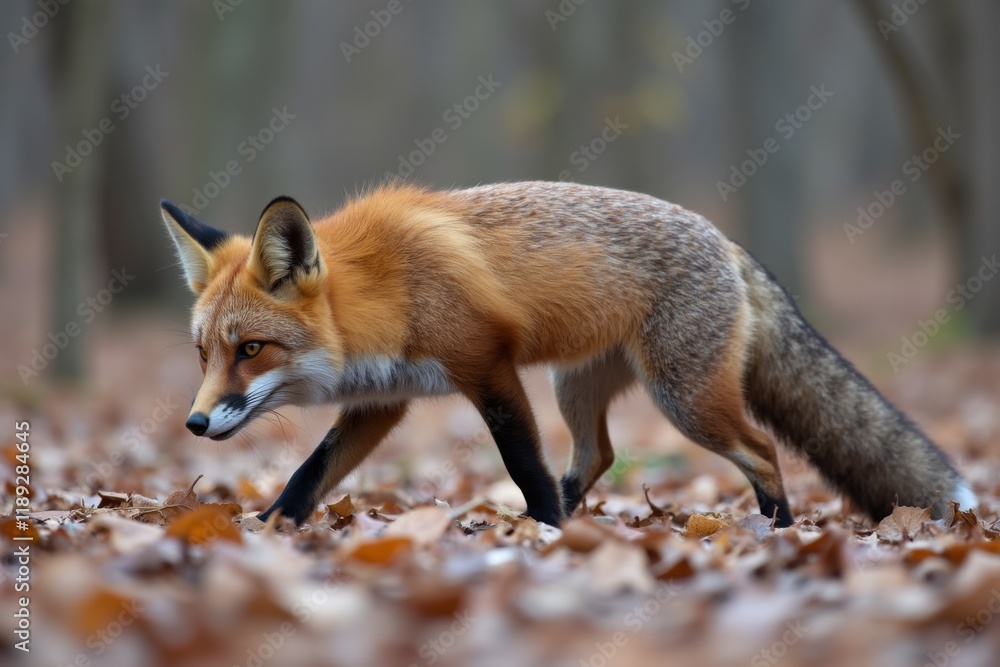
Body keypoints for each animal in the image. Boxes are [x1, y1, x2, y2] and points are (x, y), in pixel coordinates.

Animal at [159, 181, 976, 528]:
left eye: (251, 349)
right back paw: (577, 513)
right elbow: (309, 474)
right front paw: (270, 529)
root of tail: (728, 241)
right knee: (598, 455)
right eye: (202, 353)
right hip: (575, 388)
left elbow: (522, 461)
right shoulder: (384, 399)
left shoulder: (487, 367)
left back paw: (776, 531)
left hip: (684, 400)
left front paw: (544, 536)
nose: (194, 425)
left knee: (763, 449)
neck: (388, 290)